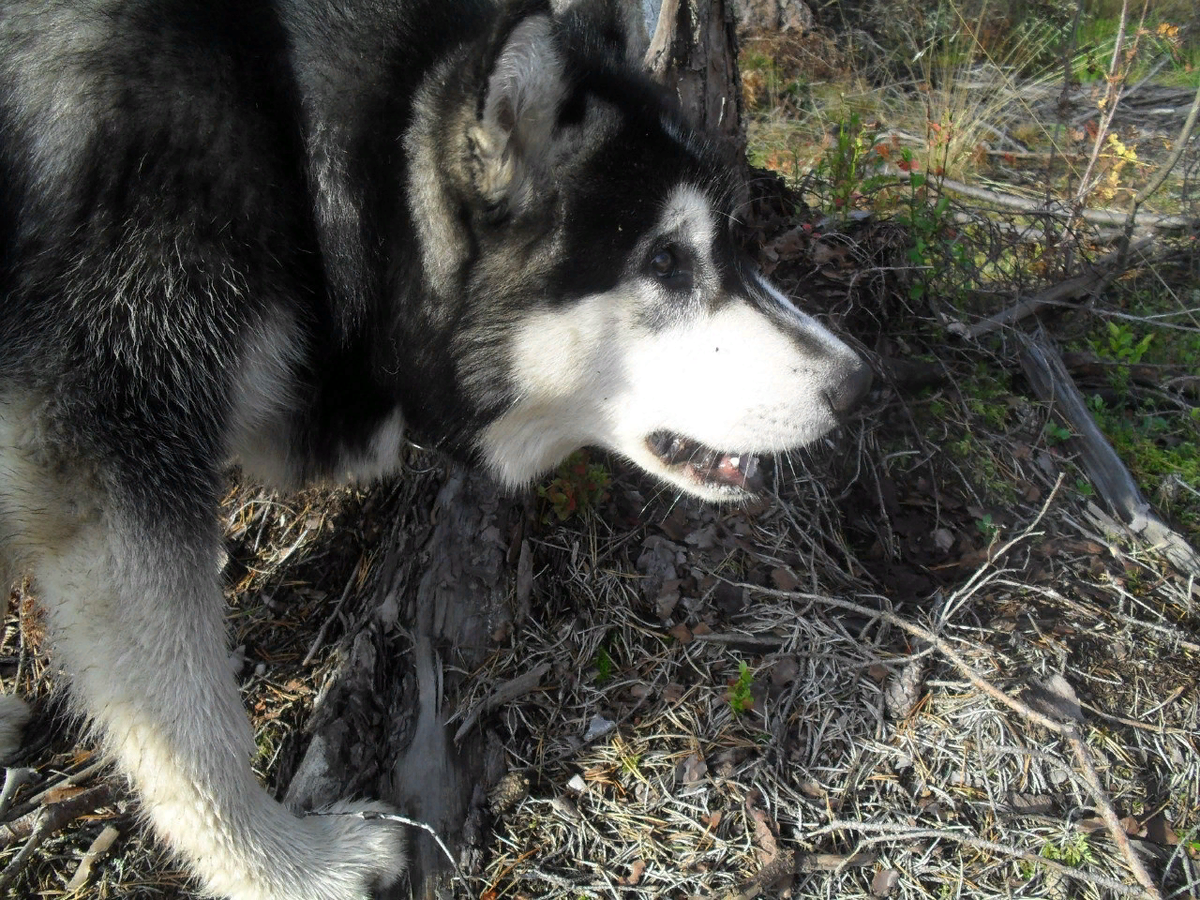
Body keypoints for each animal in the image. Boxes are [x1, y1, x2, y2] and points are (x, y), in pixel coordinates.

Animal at [0, 1, 868, 900]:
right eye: (665, 259)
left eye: (729, 241)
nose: (859, 385)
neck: (309, 162)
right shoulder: (113, 450)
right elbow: (190, 721)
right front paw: (289, 868)